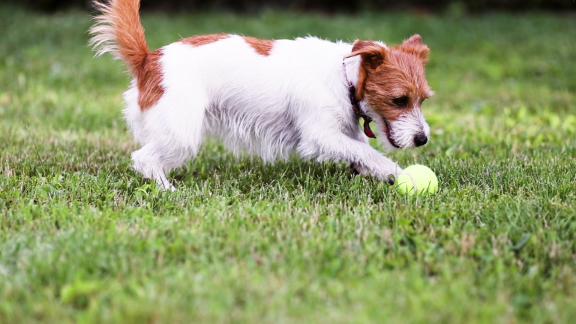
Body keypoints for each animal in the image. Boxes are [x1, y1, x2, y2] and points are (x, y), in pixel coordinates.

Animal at [90, 0, 432, 191]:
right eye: (399, 100)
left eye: (423, 99)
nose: (423, 139)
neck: (344, 77)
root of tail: (148, 60)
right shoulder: (321, 135)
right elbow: (368, 152)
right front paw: (398, 173)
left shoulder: (343, 131)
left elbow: (360, 150)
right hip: (181, 133)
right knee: (144, 159)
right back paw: (168, 192)